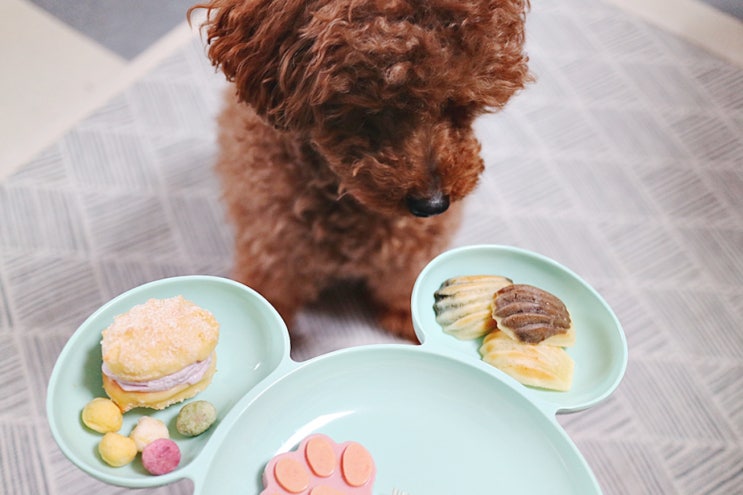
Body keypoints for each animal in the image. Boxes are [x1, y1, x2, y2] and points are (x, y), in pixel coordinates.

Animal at [189, 0, 532, 340]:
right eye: (372, 109)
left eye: (459, 103)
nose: (432, 205)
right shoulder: (272, 235)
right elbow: (271, 286)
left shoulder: (417, 238)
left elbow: (406, 272)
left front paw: (407, 316)